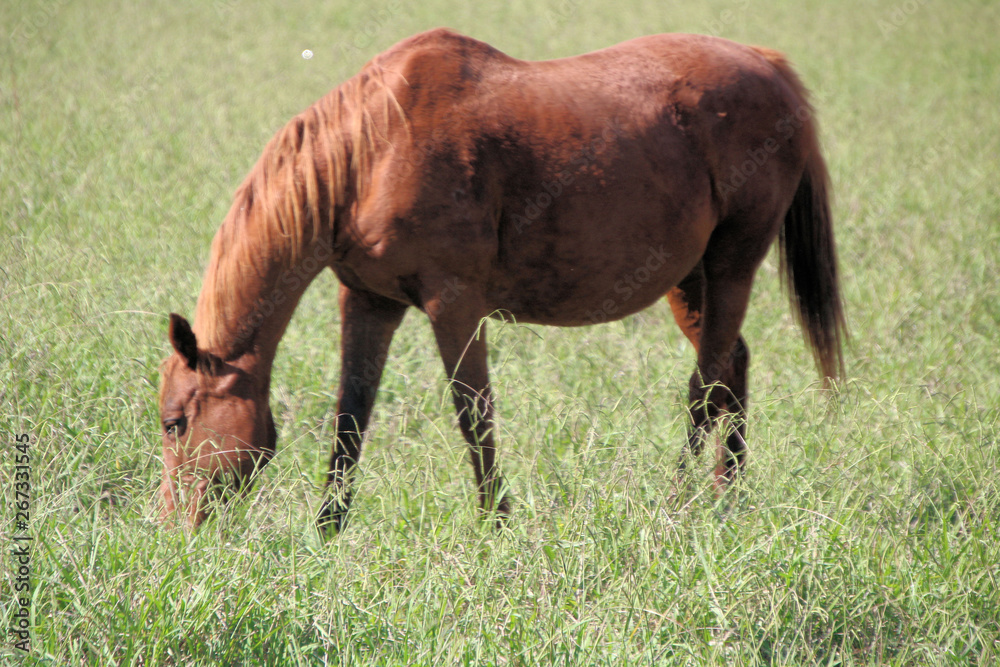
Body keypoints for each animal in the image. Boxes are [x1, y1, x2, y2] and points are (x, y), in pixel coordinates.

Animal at [157, 28, 845, 533]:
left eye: (174, 423)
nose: (172, 529)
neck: (372, 152)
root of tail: (767, 65)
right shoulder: (370, 301)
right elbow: (351, 418)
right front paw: (327, 531)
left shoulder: (455, 303)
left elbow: (473, 414)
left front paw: (496, 525)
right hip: (689, 280)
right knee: (731, 366)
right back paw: (728, 499)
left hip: (733, 261)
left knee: (706, 388)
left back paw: (678, 504)